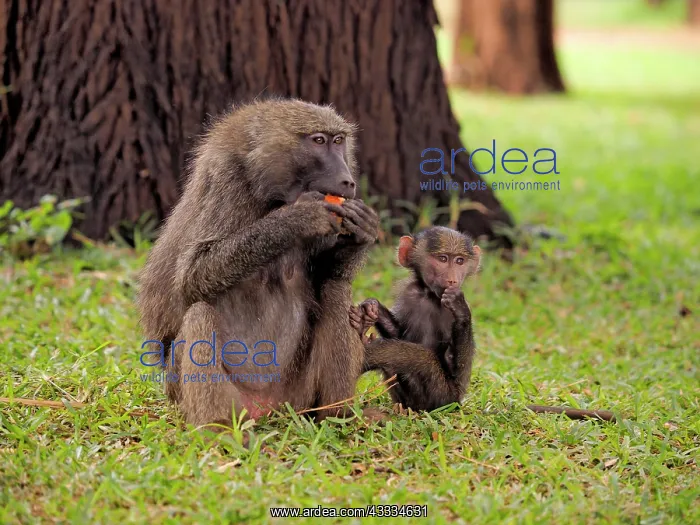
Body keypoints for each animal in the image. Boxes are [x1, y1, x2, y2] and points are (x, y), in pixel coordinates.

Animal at [137, 98, 382, 429]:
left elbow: (325, 277)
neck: (272, 194)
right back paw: (218, 430)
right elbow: (191, 278)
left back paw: (337, 415)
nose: (348, 181)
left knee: (334, 290)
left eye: (339, 141)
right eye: (319, 141)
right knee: (200, 314)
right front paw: (296, 219)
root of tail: (269, 410)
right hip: (213, 397)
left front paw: (362, 232)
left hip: (299, 395)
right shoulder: (225, 180)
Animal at [350, 227, 616, 422]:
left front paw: (461, 311)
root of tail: (458, 404)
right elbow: (398, 332)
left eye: (459, 261)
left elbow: (456, 366)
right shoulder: (410, 294)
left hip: (444, 396)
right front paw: (371, 310)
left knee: (417, 358)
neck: (430, 296)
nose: (452, 280)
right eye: (443, 259)